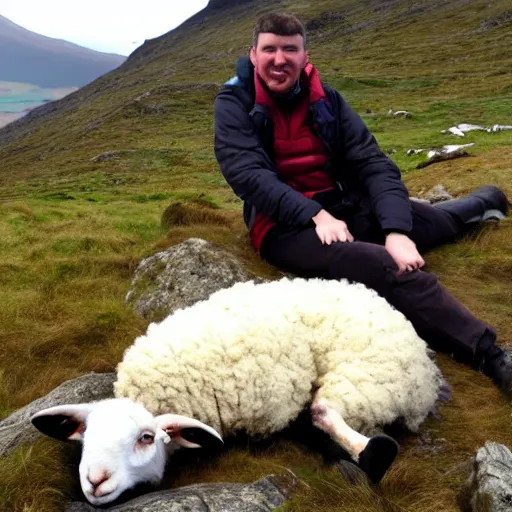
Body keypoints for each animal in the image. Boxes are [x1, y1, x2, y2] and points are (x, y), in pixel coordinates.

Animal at [33, 276, 448, 504]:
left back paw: (373, 453)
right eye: (85, 437)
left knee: (326, 412)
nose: (95, 480)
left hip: (363, 372)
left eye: (146, 438)